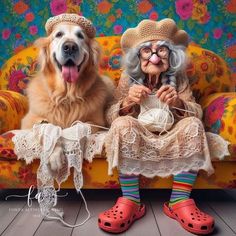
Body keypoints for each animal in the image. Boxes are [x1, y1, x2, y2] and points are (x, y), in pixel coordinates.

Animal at [21, 14, 114, 170]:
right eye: (58, 34)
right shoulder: (28, 121)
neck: (66, 95)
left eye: (80, 36)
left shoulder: (95, 122)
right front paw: (55, 154)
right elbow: (47, 127)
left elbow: (76, 129)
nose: (70, 47)